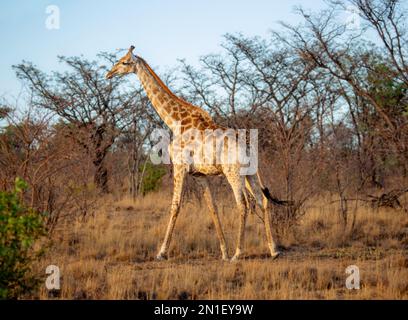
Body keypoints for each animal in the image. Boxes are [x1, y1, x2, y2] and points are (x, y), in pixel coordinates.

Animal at [107, 47, 282, 262]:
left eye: (124, 62)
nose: (109, 74)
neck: (174, 120)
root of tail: (248, 146)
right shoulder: (199, 174)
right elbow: (212, 207)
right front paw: (223, 252)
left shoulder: (180, 167)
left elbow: (175, 206)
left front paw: (161, 252)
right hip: (250, 174)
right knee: (262, 201)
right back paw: (273, 250)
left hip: (234, 173)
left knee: (244, 205)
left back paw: (238, 253)